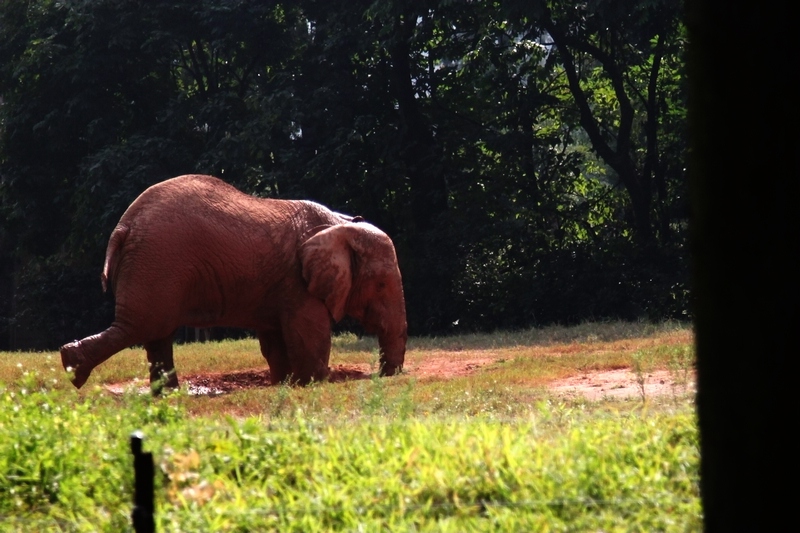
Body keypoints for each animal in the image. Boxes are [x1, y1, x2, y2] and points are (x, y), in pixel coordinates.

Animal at [60, 174, 407, 393]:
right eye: (380, 285)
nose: (385, 376)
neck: (340, 225)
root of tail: (124, 225)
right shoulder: (298, 283)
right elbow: (309, 334)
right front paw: (316, 382)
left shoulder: (280, 284)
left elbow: (274, 339)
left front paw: (286, 384)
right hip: (157, 264)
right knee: (141, 326)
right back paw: (73, 368)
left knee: (153, 333)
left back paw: (168, 396)